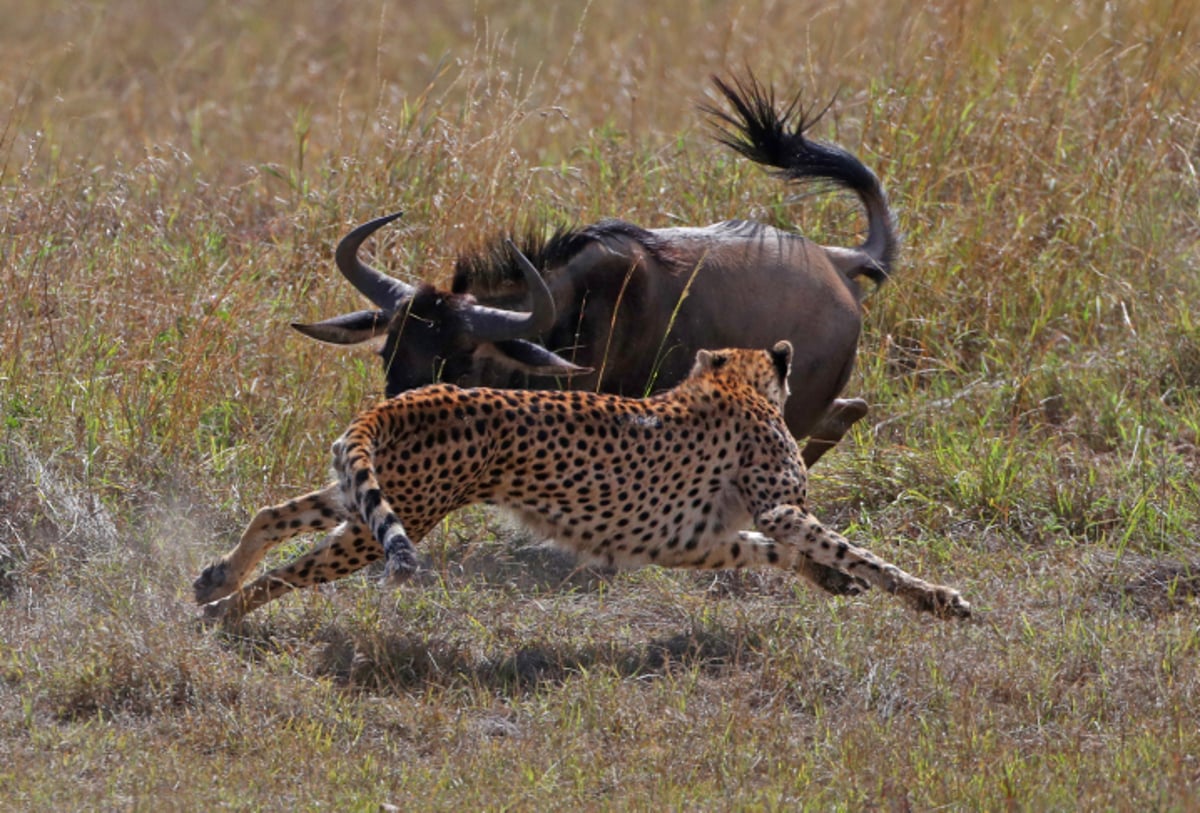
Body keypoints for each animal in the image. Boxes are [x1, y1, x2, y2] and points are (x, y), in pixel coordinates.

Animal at [194, 340, 964, 618]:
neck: (732, 379)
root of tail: (410, 396)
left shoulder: (697, 542)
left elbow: (777, 550)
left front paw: (830, 580)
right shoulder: (774, 509)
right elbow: (850, 548)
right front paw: (934, 597)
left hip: (366, 495)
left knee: (274, 513)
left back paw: (216, 578)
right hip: (395, 517)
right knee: (293, 571)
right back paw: (225, 609)